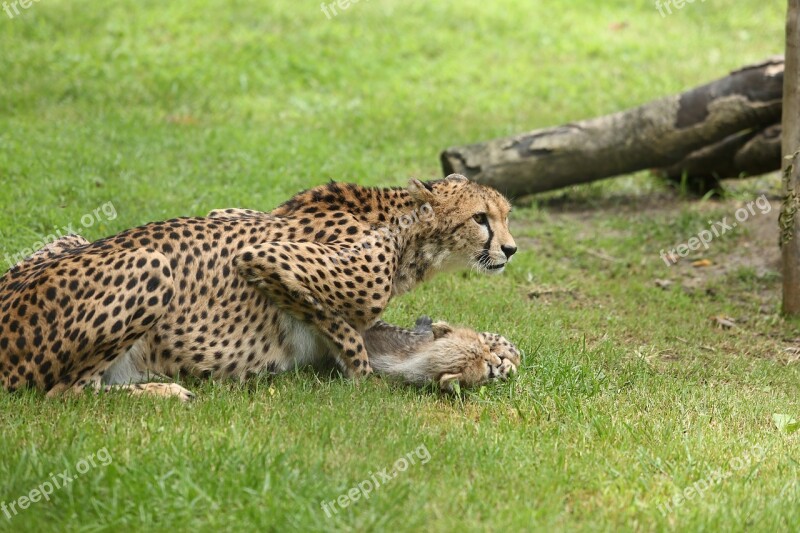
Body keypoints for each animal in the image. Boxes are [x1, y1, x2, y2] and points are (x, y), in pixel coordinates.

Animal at [0, 175, 520, 400]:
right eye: (481, 218)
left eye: (507, 215)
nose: (511, 249)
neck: (407, 234)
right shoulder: (263, 257)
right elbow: (344, 329)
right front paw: (362, 374)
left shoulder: (229, 214)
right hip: (151, 264)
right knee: (63, 393)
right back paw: (164, 392)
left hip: (71, 239)